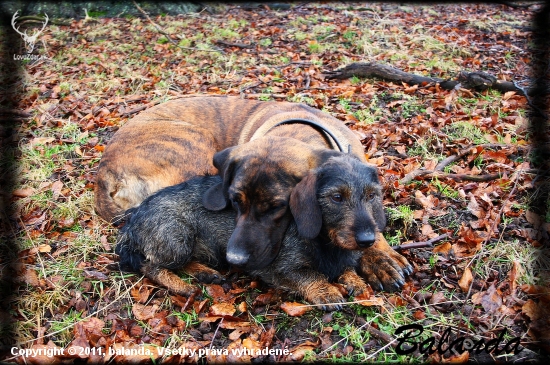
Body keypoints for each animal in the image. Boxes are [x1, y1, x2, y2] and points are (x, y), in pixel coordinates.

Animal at [114, 149, 412, 308]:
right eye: (337, 197)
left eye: (372, 195)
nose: (367, 240)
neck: (325, 241)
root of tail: (132, 222)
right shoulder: (277, 268)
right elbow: (310, 275)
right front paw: (326, 290)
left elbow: (345, 269)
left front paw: (355, 280)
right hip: (177, 238)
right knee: (151, 266)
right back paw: (182, 286)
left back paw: (204, 273)